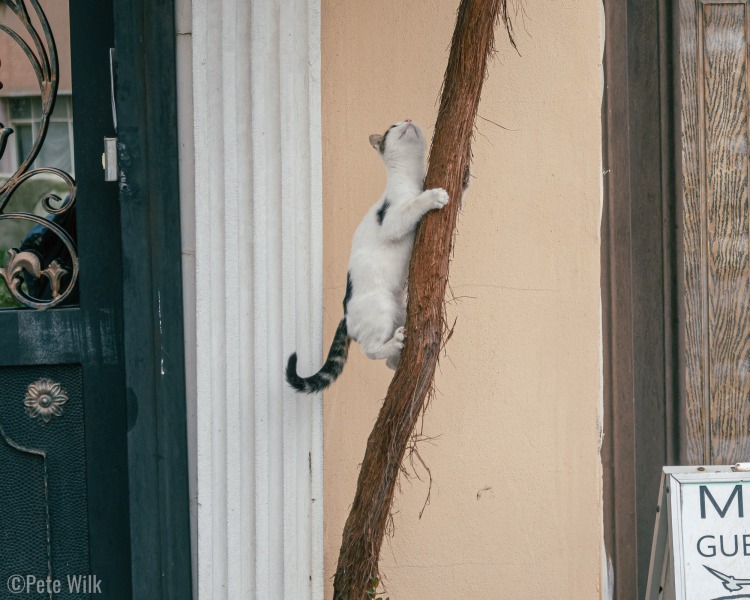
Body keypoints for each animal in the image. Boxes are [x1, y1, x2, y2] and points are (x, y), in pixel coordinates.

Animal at [288, 120, 464, 394]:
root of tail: (346, 315)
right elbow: (413, 206)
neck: (411, 178)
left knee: (388, 362)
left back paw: (398, 353)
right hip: (380, 306)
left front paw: (464, 177)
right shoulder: (392, 220)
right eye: (393, 125)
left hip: (400, 309)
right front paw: (433, 196)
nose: (408, 119)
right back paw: (393, 344)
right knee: (370, 351)